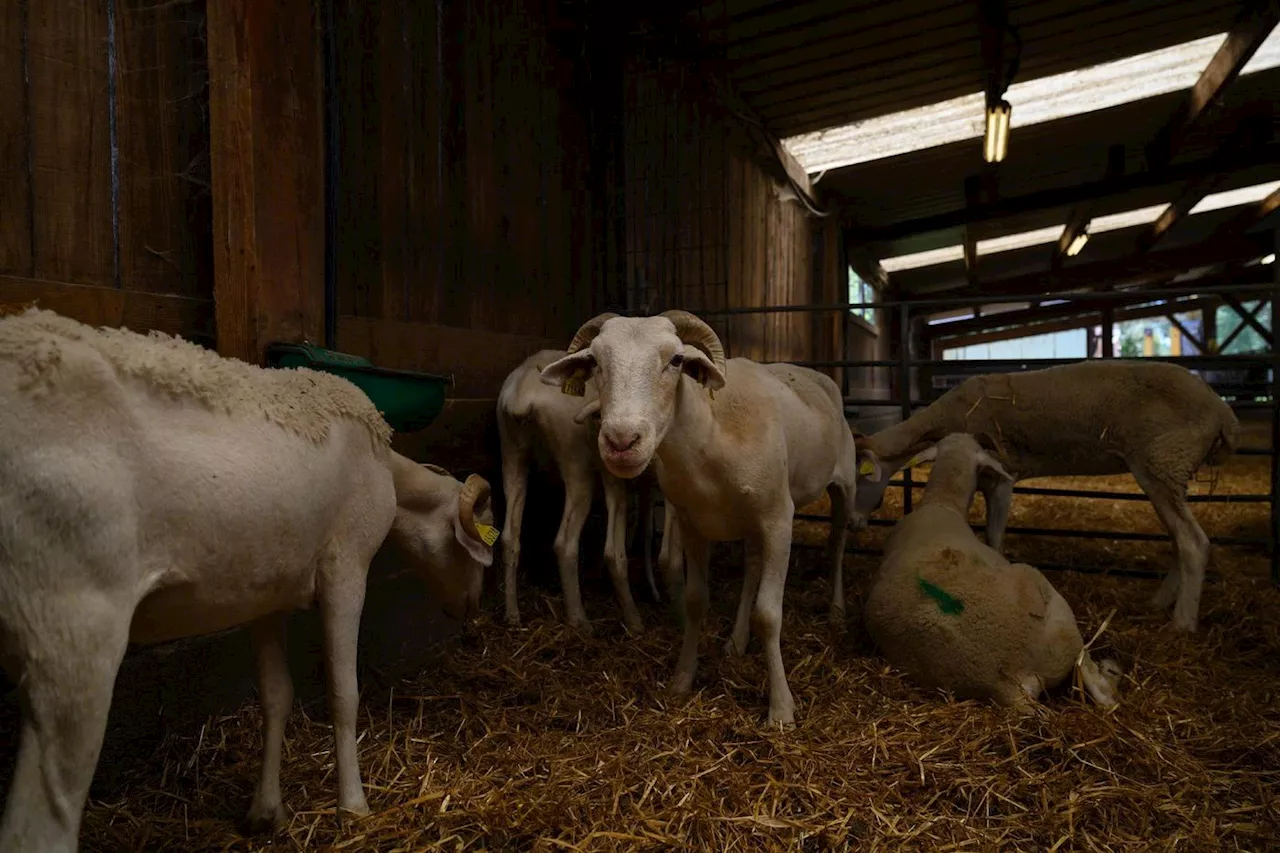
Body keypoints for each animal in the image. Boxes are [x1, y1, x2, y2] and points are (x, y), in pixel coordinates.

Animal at [0, 307, 494, 850]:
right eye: (475, 549)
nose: (472, 609)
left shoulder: (265, 591)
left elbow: (276, 697)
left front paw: (266, 811)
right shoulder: (346, 567)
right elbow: (343, 693)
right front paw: (354, 808)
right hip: (75, 624)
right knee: (41, 824)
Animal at [496, 348, 665, 635]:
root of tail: (524, 391)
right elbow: (632, 541)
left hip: (512, 453)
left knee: (509, 536)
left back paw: (512, 615)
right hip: (575, 462)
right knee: (566, 543)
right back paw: (582, 621)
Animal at [535, 308, 855, 722]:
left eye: (676, 360)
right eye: (595, 362)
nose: (621, 441)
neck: (710, 438)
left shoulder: (778, 519)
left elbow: (769, 614)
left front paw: (781, 709)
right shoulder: (693, 525)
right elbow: (695, 602)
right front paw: (682, 681)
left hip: (843, 485)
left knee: (837, 543)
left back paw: (836, 611)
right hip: (747, 522)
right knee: (752, 566)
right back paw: (736, 642)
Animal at [849, 358, 1239, 630]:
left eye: (861, 477)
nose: (853, 522)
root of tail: (1223, 412)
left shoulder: (1003, 474)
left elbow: (994, 538)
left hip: (1162, 462)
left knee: (1193, 542)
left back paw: (1182, 622)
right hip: (1168, 472)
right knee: (1179, 540)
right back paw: (1159, 603)